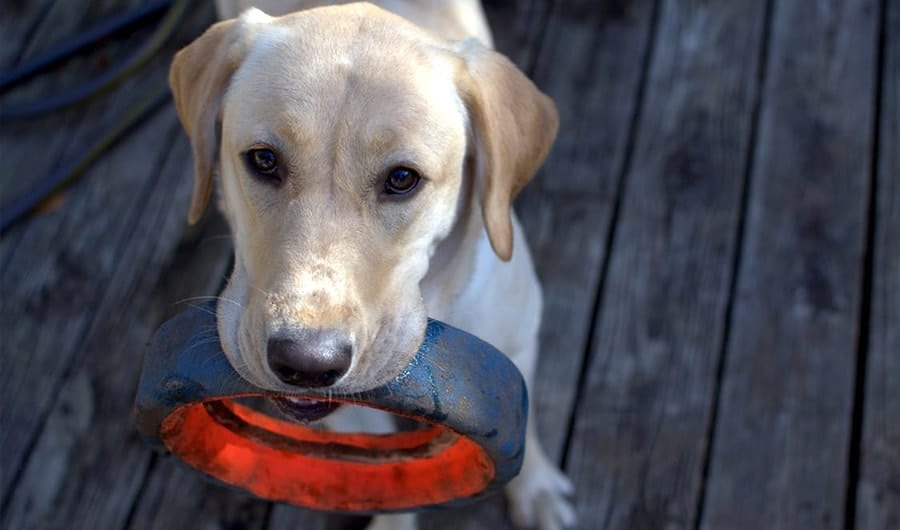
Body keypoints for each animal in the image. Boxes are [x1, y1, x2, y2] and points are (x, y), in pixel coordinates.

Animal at [171, 1, 572, 528]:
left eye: (402, 178)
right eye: (263, 160)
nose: (306, 363)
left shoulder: (519, 344)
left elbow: (529, 428)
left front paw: (538, 489)